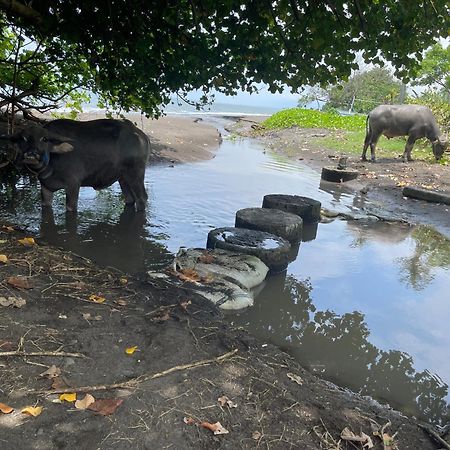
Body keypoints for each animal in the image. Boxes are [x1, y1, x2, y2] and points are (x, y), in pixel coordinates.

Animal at [0, 118, 150, 212]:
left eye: (44, 139)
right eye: (23, 138)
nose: (32, 154)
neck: (51, 163)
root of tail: (140, 135)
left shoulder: (73, 185)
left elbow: (71, 209)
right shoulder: (45, 188)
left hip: (135, 173)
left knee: (142, 198)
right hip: (122, 177)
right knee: (130, 199)